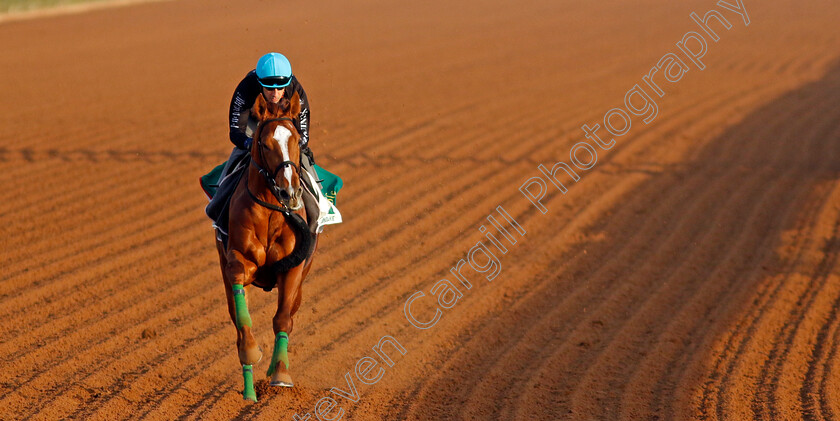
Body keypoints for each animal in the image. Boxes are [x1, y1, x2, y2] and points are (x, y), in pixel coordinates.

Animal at [215, 91, 316, 400]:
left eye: (296, 140)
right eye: (265, 142)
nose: (289, 192)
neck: (272, 212)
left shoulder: (293, 269)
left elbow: (282, 320)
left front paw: (281, 374)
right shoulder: (238, 262)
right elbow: (243, 322)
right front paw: (251, 353)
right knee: (238, 322)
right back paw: (249, 392)